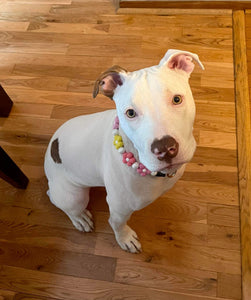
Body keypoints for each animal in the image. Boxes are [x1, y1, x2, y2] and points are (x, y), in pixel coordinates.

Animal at [44, 49, 204, 253]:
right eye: (130, 113)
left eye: (177, 99)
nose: (165, 149)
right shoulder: (119, 208)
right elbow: (117, 224)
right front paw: (125, 238)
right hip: (73, 196)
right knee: (62, 203)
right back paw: (80, 218)